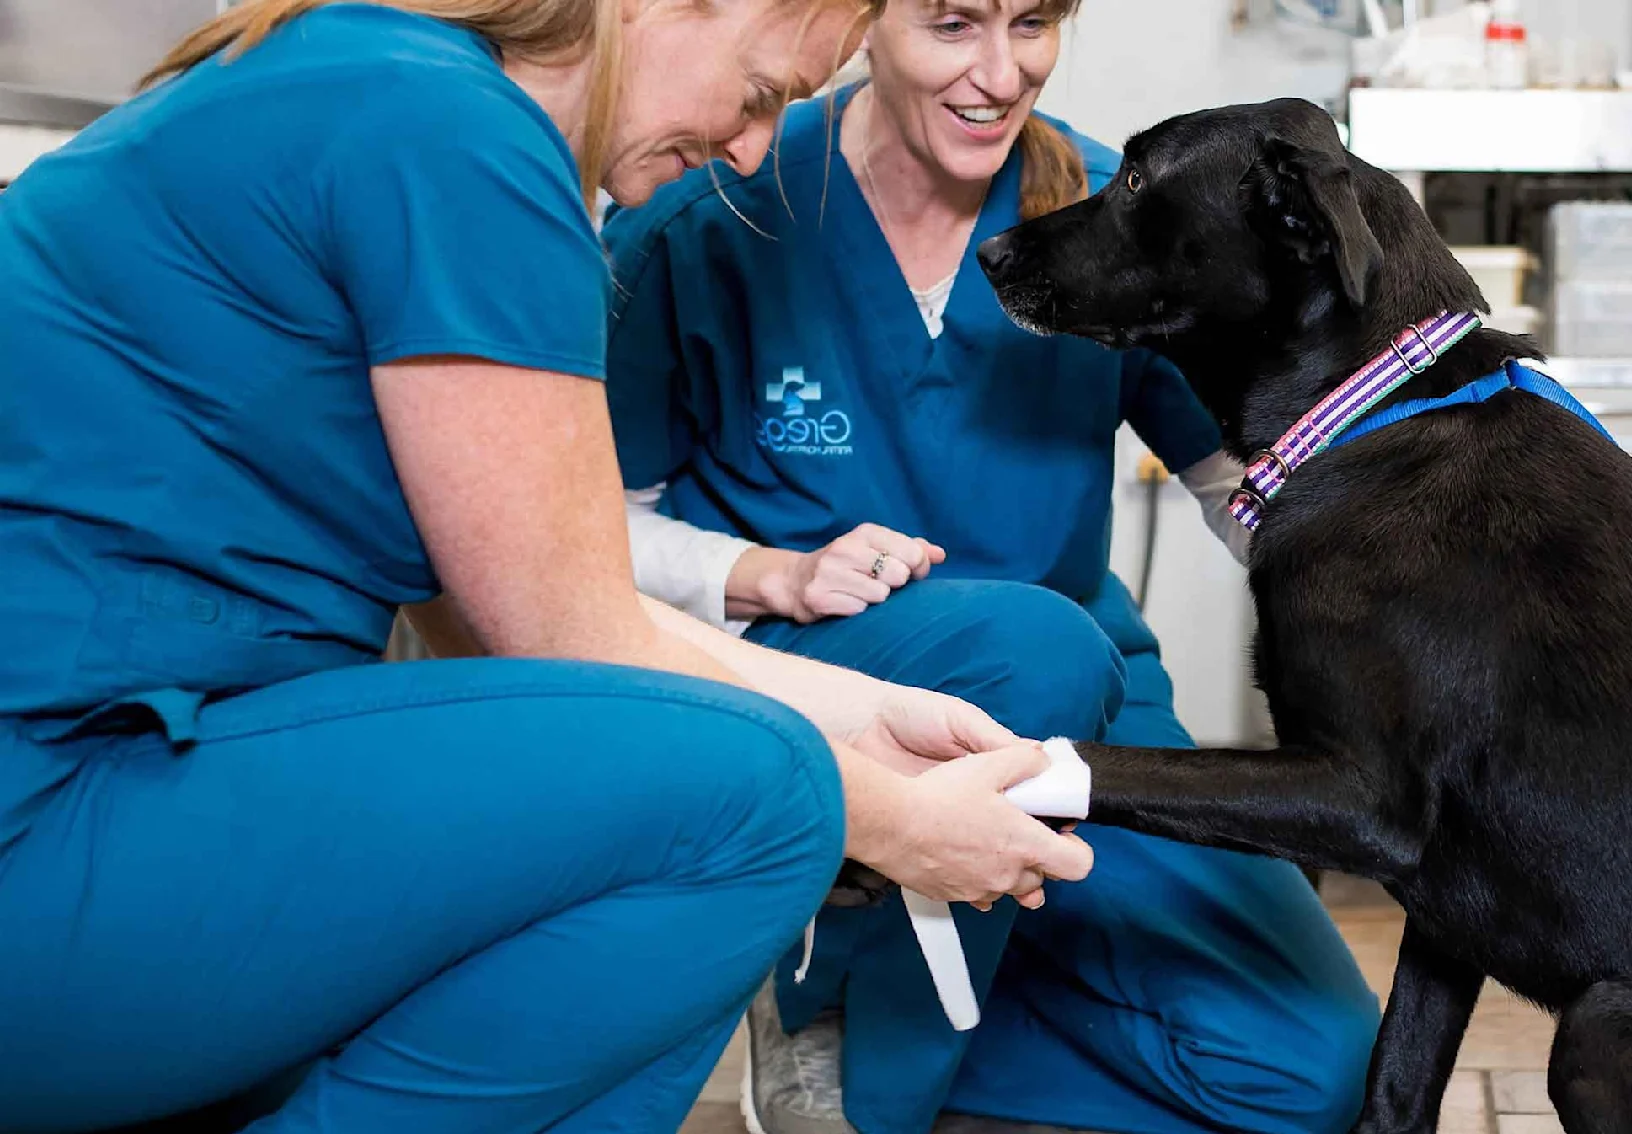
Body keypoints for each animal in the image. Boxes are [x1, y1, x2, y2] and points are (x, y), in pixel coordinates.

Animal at [979, 99, 1632, 1134]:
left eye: (1136, 180)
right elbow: (1395, 1088)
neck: (1372, 414)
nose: (989, 251)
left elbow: (1109, 762)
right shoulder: (1444, 914)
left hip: (1598, 1024)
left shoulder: (1362, 797)